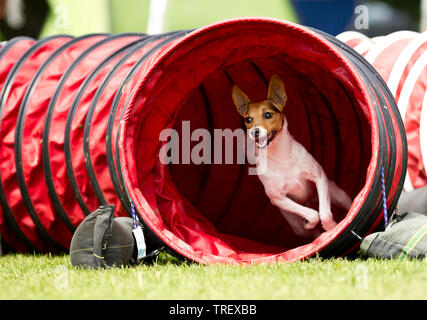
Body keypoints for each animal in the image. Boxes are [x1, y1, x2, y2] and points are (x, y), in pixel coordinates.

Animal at [232, 74, 352, 236]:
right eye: (248, 119)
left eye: (268, 115)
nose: (254, 132)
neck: (281, 156)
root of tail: (309, 200)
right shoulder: (278, 198)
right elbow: (313, 214)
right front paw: (312, 224)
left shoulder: (319, 177)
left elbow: (325, 213)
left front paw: (332, 227)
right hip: (295, 225)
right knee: (310, 229)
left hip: (338, 194)